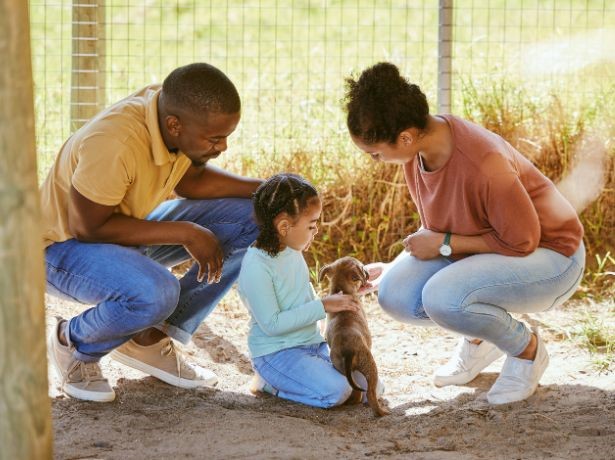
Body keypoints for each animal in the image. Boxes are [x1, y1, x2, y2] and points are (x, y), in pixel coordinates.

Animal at [318, 255, 390, 416]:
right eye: (362, 268)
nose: (368, 272)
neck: (342, 290)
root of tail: (348, 350)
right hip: (370, 367)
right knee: (370, 394)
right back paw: (382, 412)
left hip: (342, 369)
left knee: (355, 390)